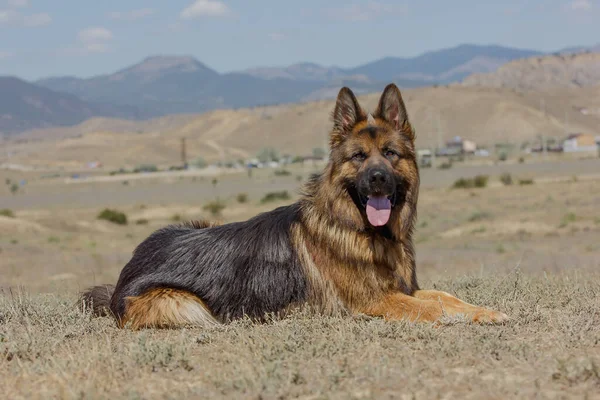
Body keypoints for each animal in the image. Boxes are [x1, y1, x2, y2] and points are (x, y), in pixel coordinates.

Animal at [82, 83, 508, 328]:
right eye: (358, 157)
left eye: (390, 154)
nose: (377, 179)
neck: (359, 228)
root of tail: (126, 270)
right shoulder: (375, 300)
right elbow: (432, 309)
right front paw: (456, 320)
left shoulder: (405, 288)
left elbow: (445, 297)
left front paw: (484, 311)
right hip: (183, 305)